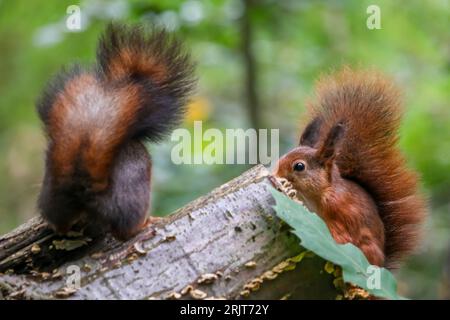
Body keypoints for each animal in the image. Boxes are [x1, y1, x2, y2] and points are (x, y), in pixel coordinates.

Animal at [36, 23, 195, 240]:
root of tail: (85, 189)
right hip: (135, 197)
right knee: (125, 229)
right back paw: (146, 223)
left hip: (52, 198)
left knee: (60, 223)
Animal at [272, 69, 428, 268]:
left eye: (299, 166)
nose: (276, 174)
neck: (322, 191)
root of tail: (381, 264)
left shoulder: (340, 208)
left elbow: (339, 232)